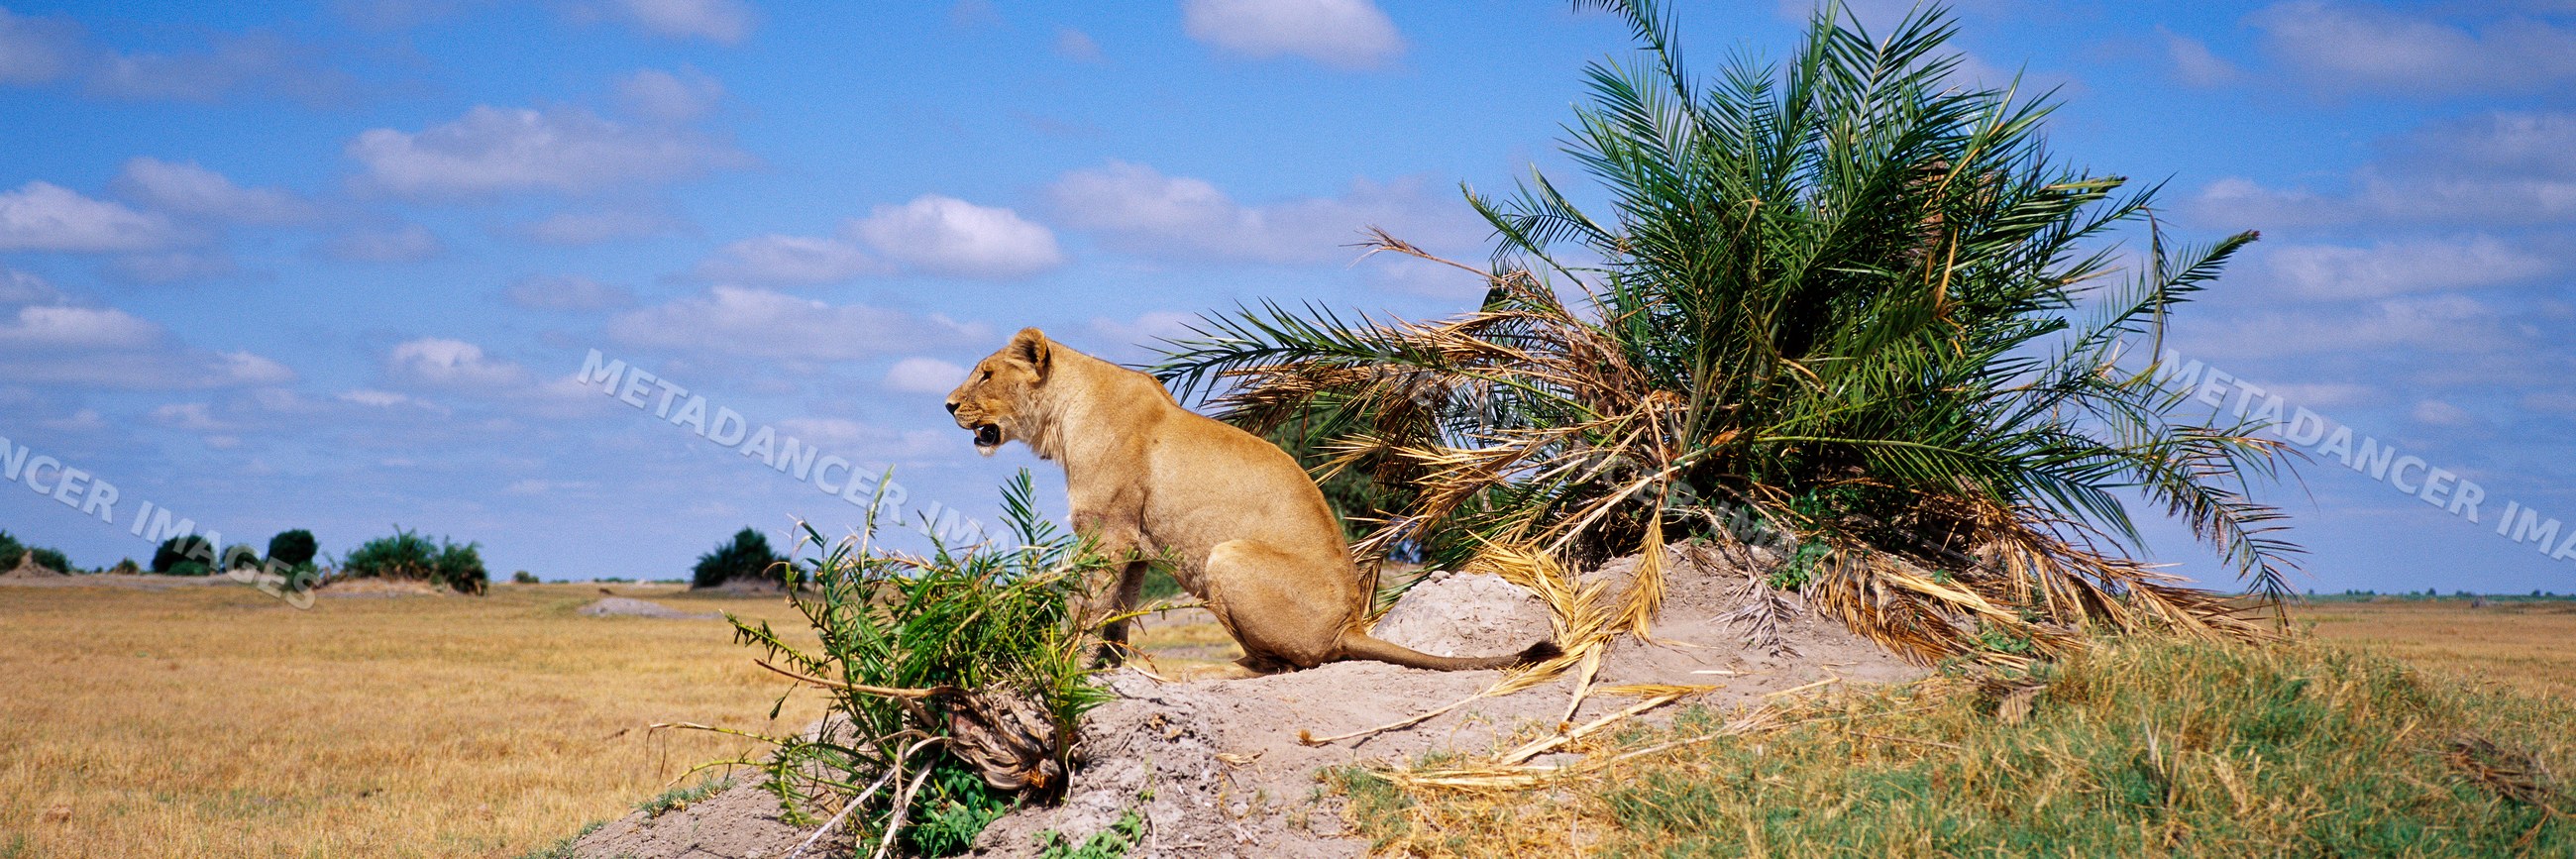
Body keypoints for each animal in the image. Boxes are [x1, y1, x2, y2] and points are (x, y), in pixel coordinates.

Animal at [945, 328, 1560, 674]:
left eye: (986, 373)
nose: (947, 404)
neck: (1062, 416)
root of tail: (1352, 626)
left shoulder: (1108, 534)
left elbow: (1087, 607)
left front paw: (1063, 663)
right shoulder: (1135, 544)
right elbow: (1119, 611)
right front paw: (1108, 669)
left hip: (1227, 555)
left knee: (1277, 665)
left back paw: (1203, 672)